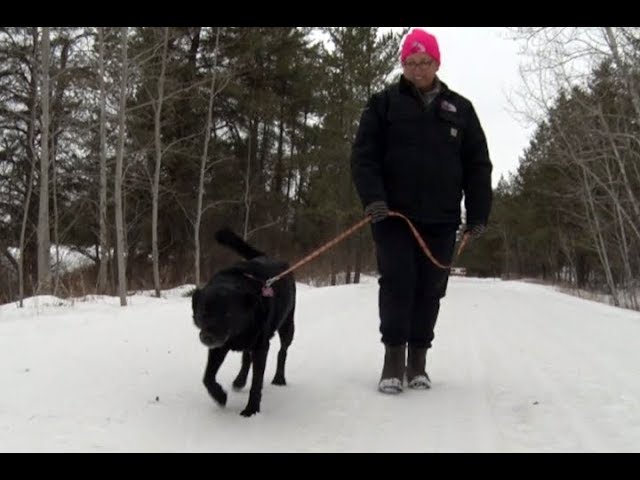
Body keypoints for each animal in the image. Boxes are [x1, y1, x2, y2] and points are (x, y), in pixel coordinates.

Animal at [191, 229, 296, 416]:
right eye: (203, 313)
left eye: (227, 314)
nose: (207, 337)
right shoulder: (219, 347)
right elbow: (207, 377)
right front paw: (220, 396)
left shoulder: (261, 347)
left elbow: (256, 383)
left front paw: (251, 410)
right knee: (247, 358)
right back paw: (239, 380)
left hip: (287, 326)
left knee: (282, 351)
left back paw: (279, 378)